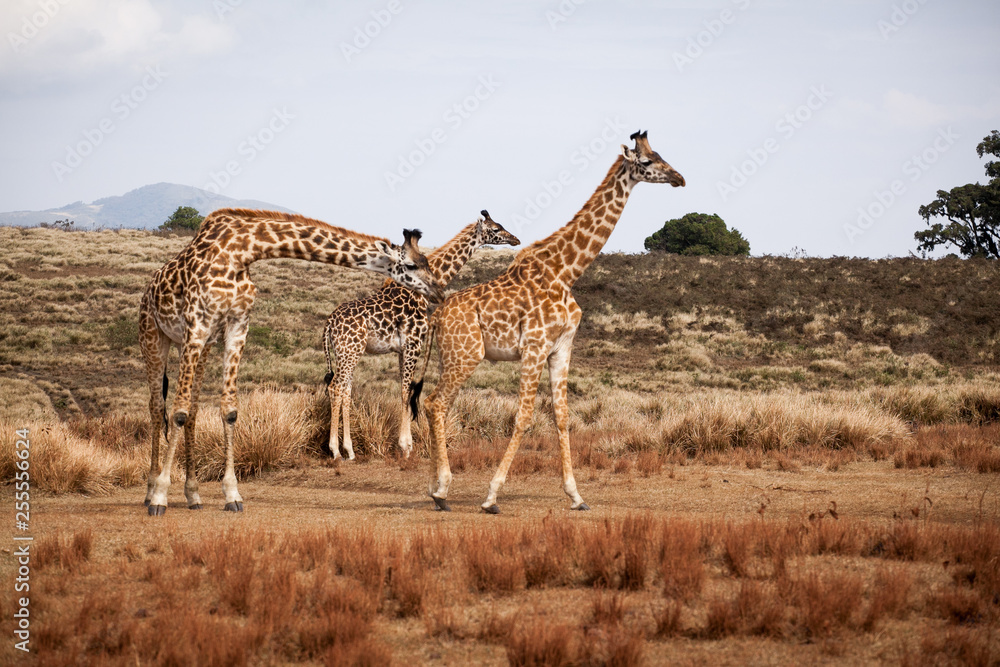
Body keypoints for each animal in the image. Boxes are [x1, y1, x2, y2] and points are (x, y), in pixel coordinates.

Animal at [139, 208, 443, 516]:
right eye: (412, 265)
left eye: (426, 261)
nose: (438, 291)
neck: (242, 251)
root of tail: (149, 288)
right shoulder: (197, 325)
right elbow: (176, 412)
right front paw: (161, 496)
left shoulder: (236, 327)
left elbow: (228, 410)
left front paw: (232, 494)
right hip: (155, 336)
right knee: (157, 407)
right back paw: (150, 492)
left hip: (200, 346)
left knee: (193, 409)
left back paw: (193, 495)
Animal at [322, 210, 520, 461]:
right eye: (495, 229)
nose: (515, 239)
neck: (422, 291)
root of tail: (329, 323)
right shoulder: (414, 343)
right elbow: (407, 391)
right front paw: (406, 446)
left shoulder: (402, 348)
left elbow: (403, 389)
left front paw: (405, 444)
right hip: (350, 351)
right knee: (336, 387)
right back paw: (336, 450)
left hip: (346, 352)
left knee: (344, 389)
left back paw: (349, 449)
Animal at [422, 131, 685, 513]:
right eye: (648, 161)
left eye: (662, 154)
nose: (679, 178)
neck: (566, 272)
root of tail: (437, 316)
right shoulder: (534, 346)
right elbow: (523, 417)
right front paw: (491, 496)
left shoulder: (561, 348)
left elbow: (562, 416)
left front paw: (576, 496)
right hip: (466, 355)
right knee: (436, 403)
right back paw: (442, 490)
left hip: (452, 356)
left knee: (435, 405)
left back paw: (435, 488)